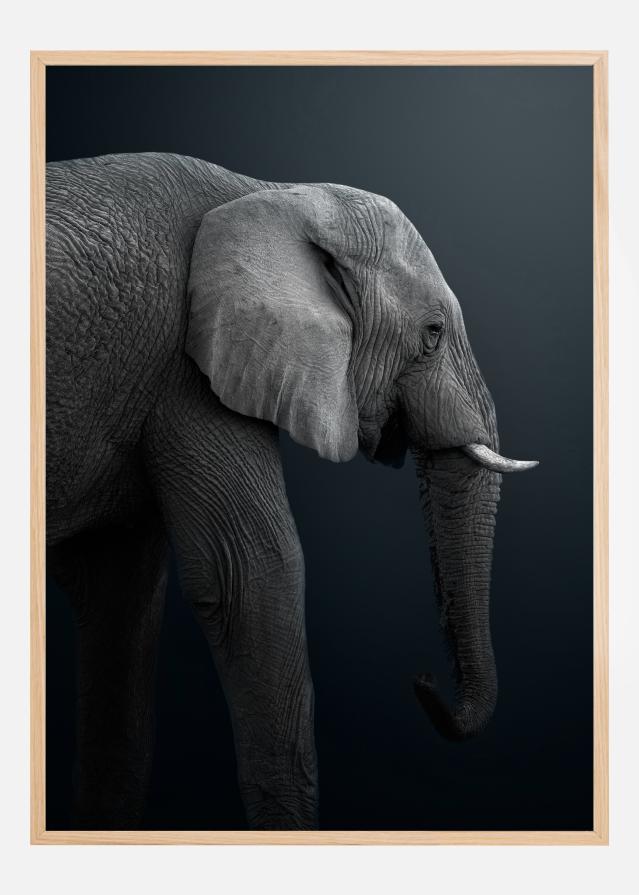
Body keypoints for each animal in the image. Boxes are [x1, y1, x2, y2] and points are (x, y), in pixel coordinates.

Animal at [46, 152, 537, 831]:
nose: (421, 677)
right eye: (433, 334)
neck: (272, 195)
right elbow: (252, 577)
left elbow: (121, 595)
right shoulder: (190, 370)